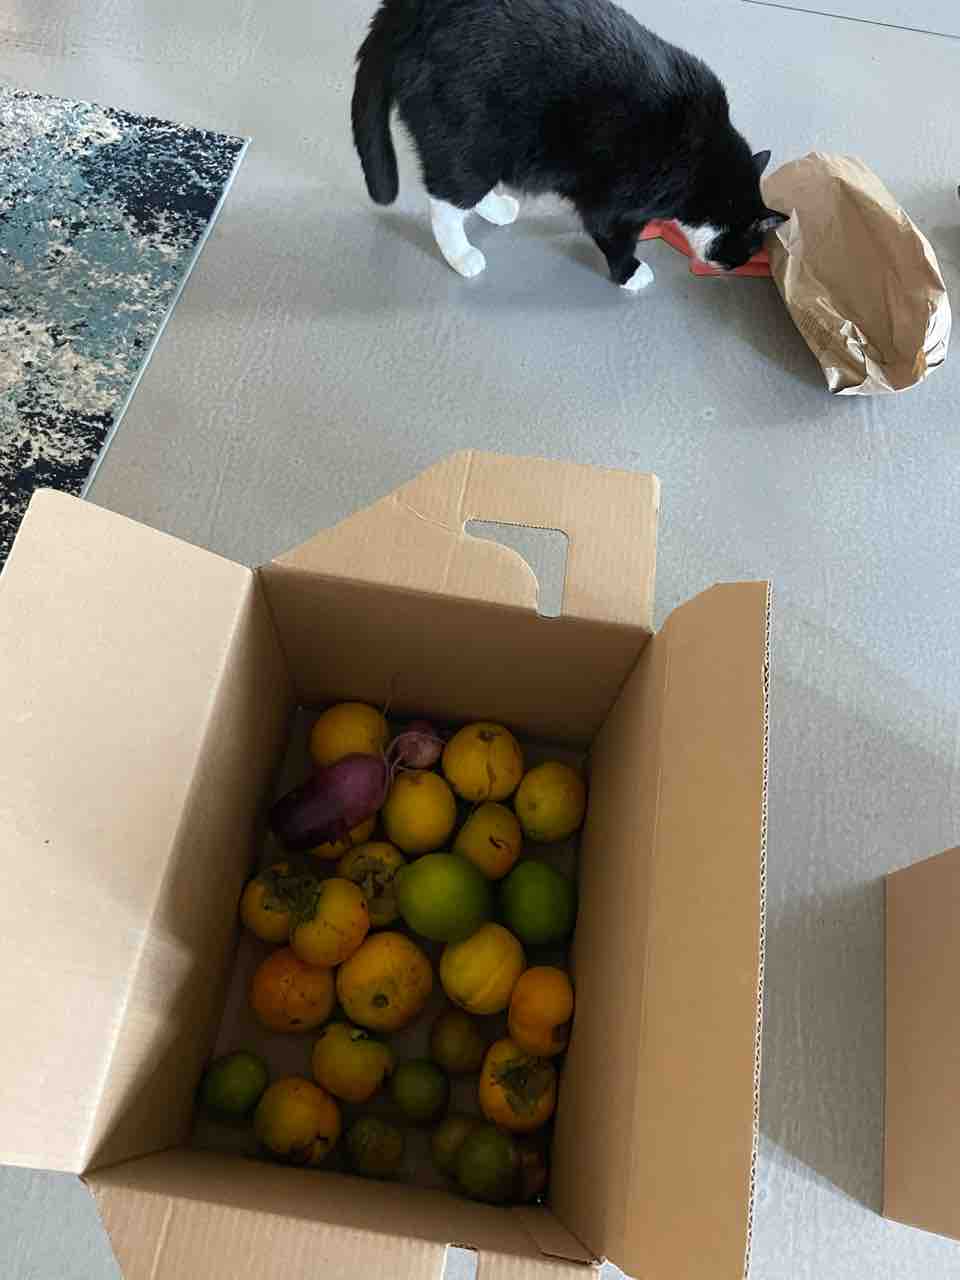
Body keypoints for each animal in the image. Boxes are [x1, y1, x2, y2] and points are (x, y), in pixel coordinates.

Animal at [351, 0, 787, 289]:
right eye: (750, 247)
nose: (734, 268)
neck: (706, 170)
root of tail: (407, 13)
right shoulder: (615, 201)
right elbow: (612, 236)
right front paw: (631, 273)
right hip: (469, 141)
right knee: (445, 200)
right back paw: (462, 255)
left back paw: (496, 210)